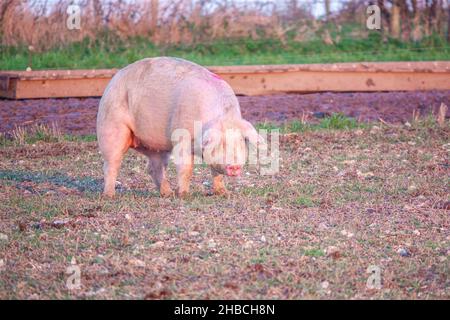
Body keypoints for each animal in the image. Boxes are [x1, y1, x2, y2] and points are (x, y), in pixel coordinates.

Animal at [96, 57, 262, 198]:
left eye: (240, 142)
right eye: (220, 144)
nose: (234, 166)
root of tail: (114, 78)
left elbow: (216, 172)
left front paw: (224, 193)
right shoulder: (182, 137)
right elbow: (186, 168)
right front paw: (184, 195)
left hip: (158, 148)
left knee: (154, 168)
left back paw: (168, 194)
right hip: (110, 126)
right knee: (111, 164)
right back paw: (109, 195)